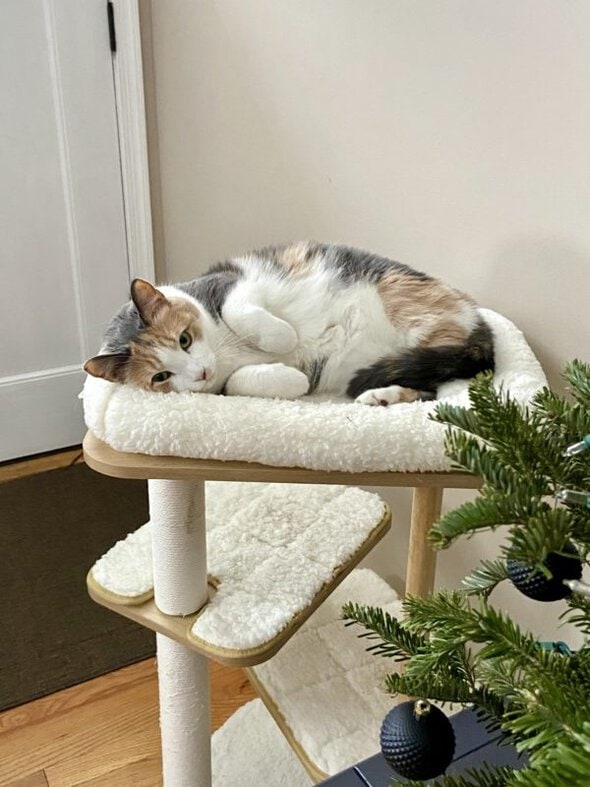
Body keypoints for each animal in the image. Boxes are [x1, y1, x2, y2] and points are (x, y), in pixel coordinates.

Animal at [85, 243, 498, 406]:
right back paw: (381, 397)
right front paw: (294, 378)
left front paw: (284, 338)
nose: (200, 373)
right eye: (160, 377)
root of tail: (478, 321)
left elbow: (239, 310)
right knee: (431, 388)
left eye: (184, 339)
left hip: (412, 309)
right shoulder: (223, 388)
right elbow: (239, 382)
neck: (222, 350)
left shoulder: (234, 282)